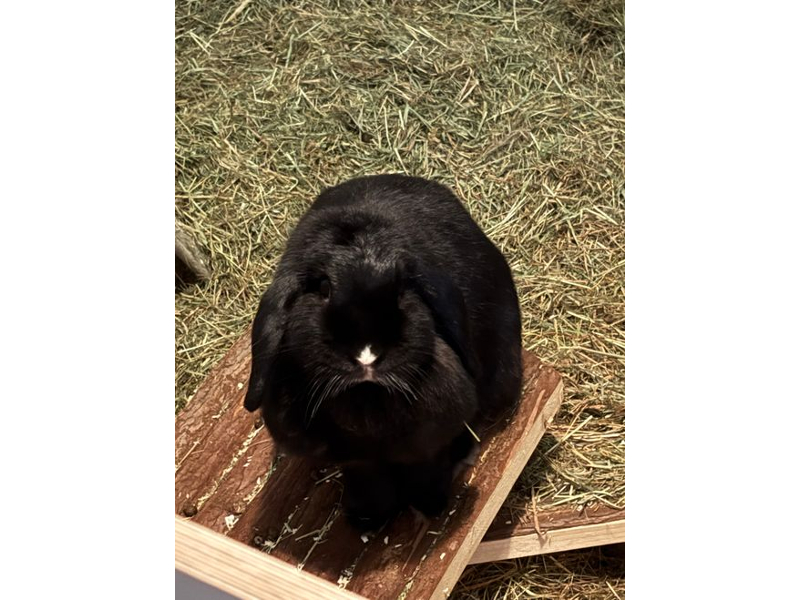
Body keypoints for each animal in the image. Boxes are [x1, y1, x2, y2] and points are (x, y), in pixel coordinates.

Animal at [244, 174, 522, 528]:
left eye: (402, 290)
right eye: (323, 288)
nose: (367, 355)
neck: (368, 405)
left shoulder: (429, 445)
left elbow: (427, 472)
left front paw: (430, 507)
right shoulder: (358, 461)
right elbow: (369, 482)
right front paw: (366, 519)